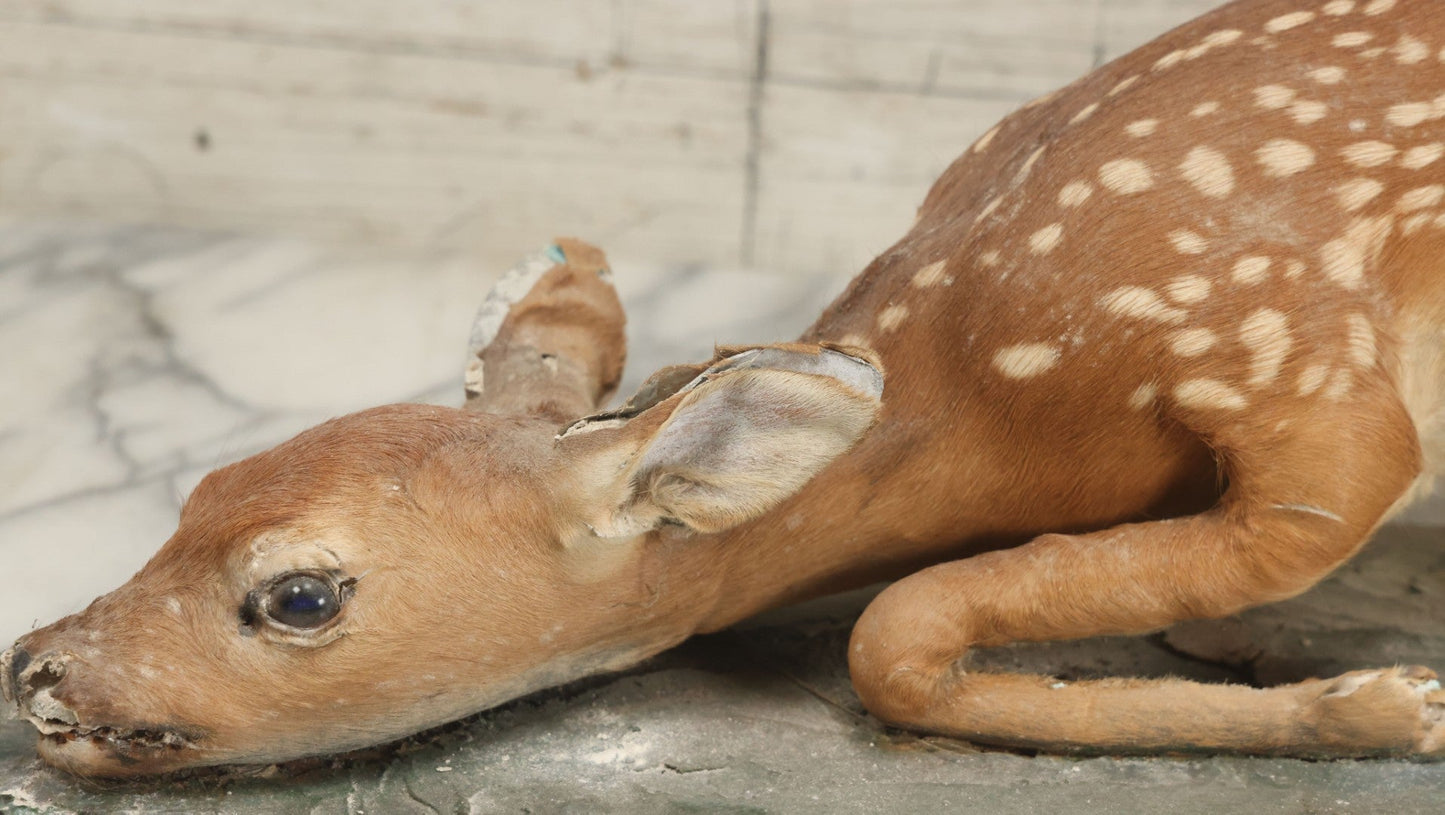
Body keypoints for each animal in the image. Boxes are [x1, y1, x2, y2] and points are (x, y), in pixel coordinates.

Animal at [3, 0, 1445, 779]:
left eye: (299, 594)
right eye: (199, 488)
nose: (35, 664)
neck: (999, 383)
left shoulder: (1305, 381)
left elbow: (887, 635)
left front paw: (1389, 700)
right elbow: (894, 639)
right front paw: (1359, 693)